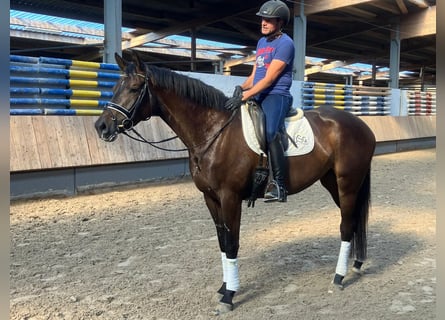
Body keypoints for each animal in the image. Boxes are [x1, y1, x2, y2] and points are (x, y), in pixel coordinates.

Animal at [93, 50, 374, 312]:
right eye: (115, 88)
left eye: (133, 88)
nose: (101, 127)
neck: (214, 133)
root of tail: (361, 126)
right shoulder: (210, 197)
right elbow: (221, 241)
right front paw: (224, 286)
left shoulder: (230, 197)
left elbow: (232, 244)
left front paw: (229, 296)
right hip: (333, 182)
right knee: (353, 220)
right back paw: (356, 264)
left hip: (347, 183)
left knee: (346, 225)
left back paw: (339, 277)